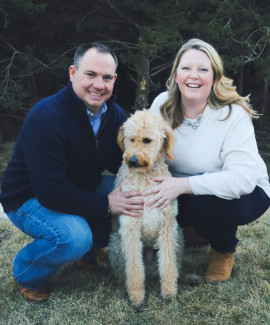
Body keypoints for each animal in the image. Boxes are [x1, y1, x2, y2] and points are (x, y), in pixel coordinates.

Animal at [107, 109, 184, 306]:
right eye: (131, 139)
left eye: (147, 140)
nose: (133, 160)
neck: (145, 178)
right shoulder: (130, 228)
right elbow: (134, 267)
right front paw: (137, 297)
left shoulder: (167, 228)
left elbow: (168, 264)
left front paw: (169, 291)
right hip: (116, 244)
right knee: (124, 274)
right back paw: (123, 290)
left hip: (179, 237)